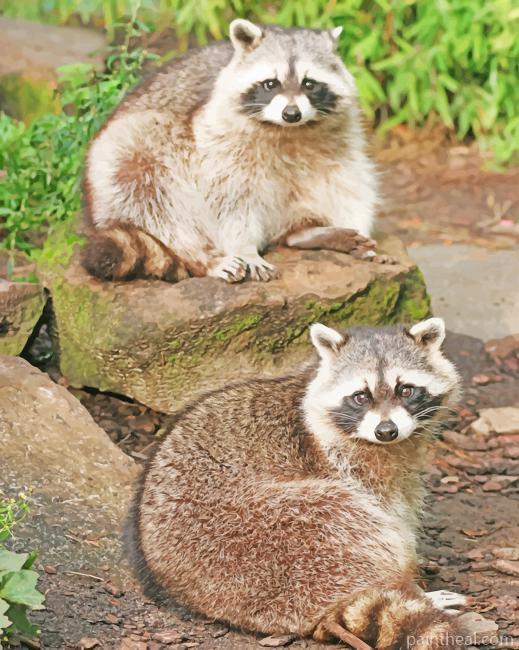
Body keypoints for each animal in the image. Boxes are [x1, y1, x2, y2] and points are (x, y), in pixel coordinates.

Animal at [82, 20, 378, 283]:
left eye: (309, 83)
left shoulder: (339, 132)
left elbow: (347, 179)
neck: (288, 132)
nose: (291, 113)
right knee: (153, 197)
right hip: (123, 157)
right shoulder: (218, 138)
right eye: (271, 84)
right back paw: (200, 256)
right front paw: (243, 248)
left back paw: (302, 232)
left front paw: (354, 222)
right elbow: (229, 198)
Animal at [128, 318, 472, 649]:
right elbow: (388, 521)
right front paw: (409, 577)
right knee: (347, 514)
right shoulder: (340, 461)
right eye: (361, 397)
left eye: (406, 391)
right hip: (271, 530)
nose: (386, 431)